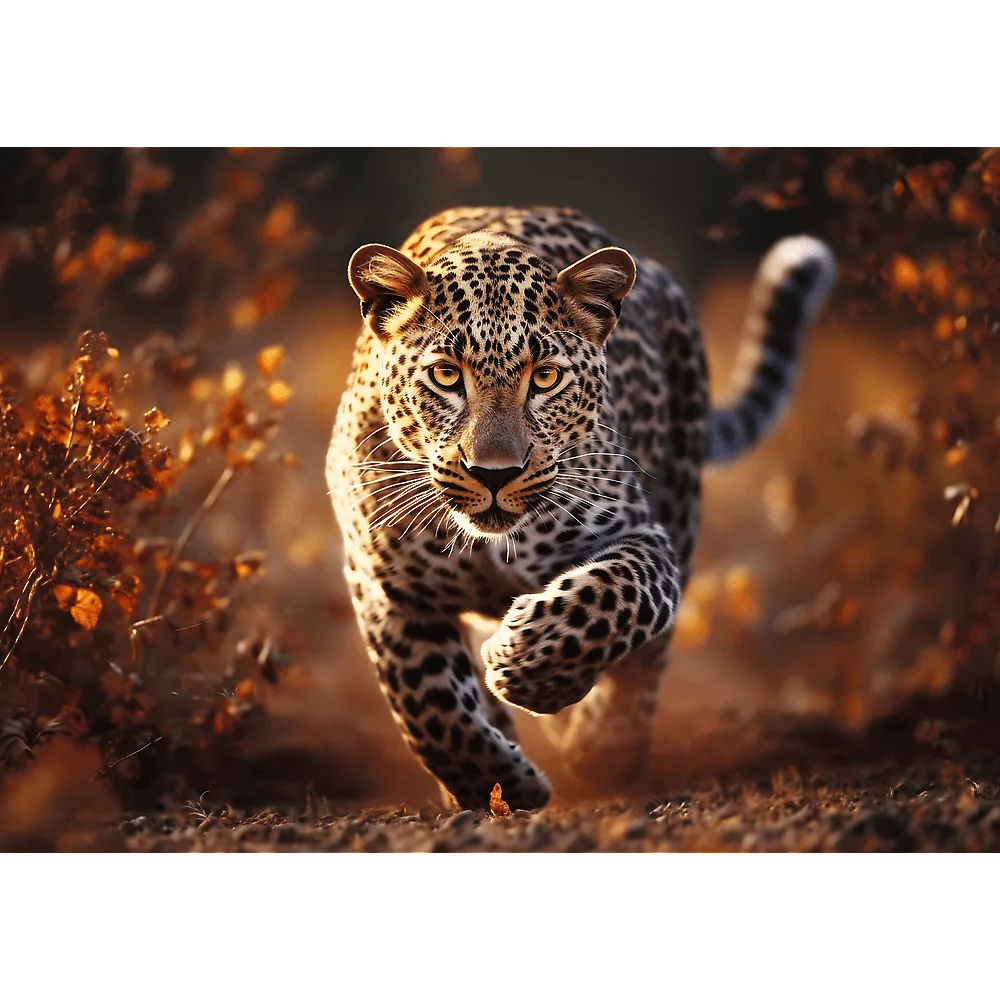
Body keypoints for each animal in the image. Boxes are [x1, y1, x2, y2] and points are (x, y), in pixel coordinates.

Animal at [326, 205, 835, 811]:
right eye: (446, 375)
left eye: (545, 377)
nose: (494, 473)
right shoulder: (384, 586)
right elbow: (428, 704)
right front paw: (497, 783)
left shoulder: (642, 537)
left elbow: (613, 597)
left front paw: (528, 664)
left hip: (682, 499)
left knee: (646, 660)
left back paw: (605, 746)